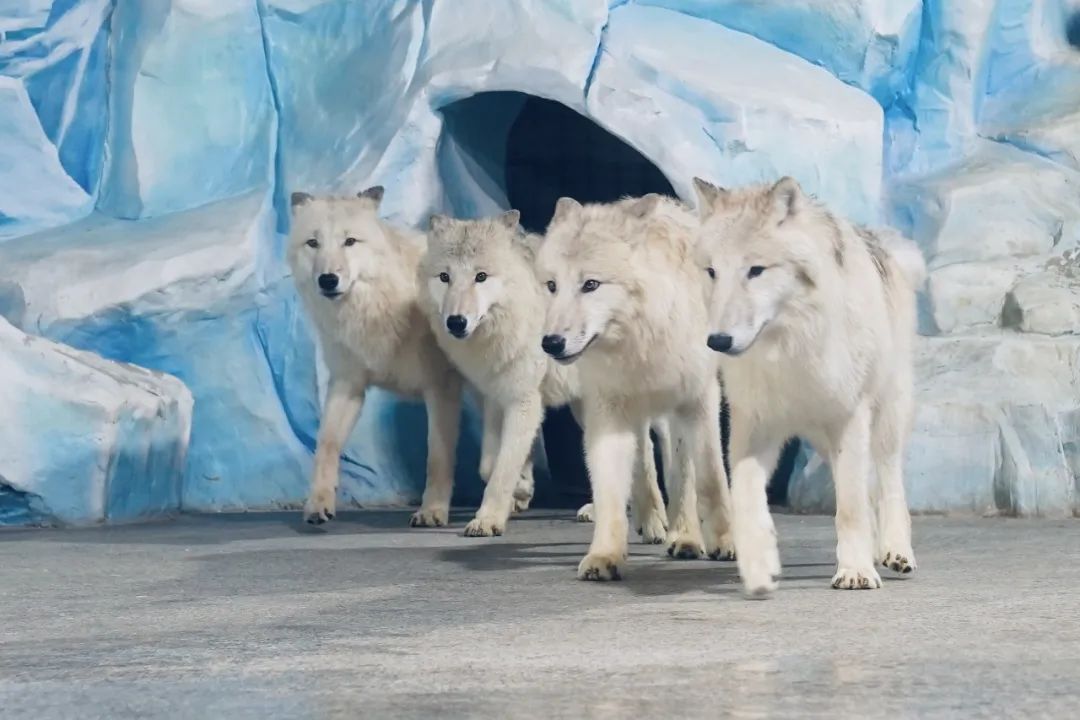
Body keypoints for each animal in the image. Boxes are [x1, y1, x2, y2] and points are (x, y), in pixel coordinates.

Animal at [289, 188, 462, 528]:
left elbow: (437, 456)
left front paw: (432, 511)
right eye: (313, 243)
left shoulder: (441, 388)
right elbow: (326, 444)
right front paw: (318, 503)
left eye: (350, 241)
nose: (327, 280)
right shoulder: (348, 385)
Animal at [419, 208, 665, 539]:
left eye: (480, 276)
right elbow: (490, 464)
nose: (456, 322)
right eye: (445, 277)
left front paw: (487, 519)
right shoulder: (496, 398)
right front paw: (521, 490)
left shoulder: (524, 401)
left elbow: (503, 468)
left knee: (650, 448)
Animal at [537, 193, 738, 578]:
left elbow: (705, 478)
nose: (551, 343)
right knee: (642, 459)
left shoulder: (696, 401)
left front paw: (713, 540)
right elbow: (611, 486)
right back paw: (650, 520)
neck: (640, 341)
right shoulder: (609, 411)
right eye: (551, 285)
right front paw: (604, 555)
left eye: (591, 285)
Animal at [695, 175, 924, 595]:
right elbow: (744, 498)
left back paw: (895, 552)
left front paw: (855, 572)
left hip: (885, 417)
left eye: (755, 270)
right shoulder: (753, 425)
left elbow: (850, 507)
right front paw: (759, 567)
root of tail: (882, 243)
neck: (788, 350)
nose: (718, 341)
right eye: (712, 271)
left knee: (888, 481)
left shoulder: (849, 418)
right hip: (823, 440)